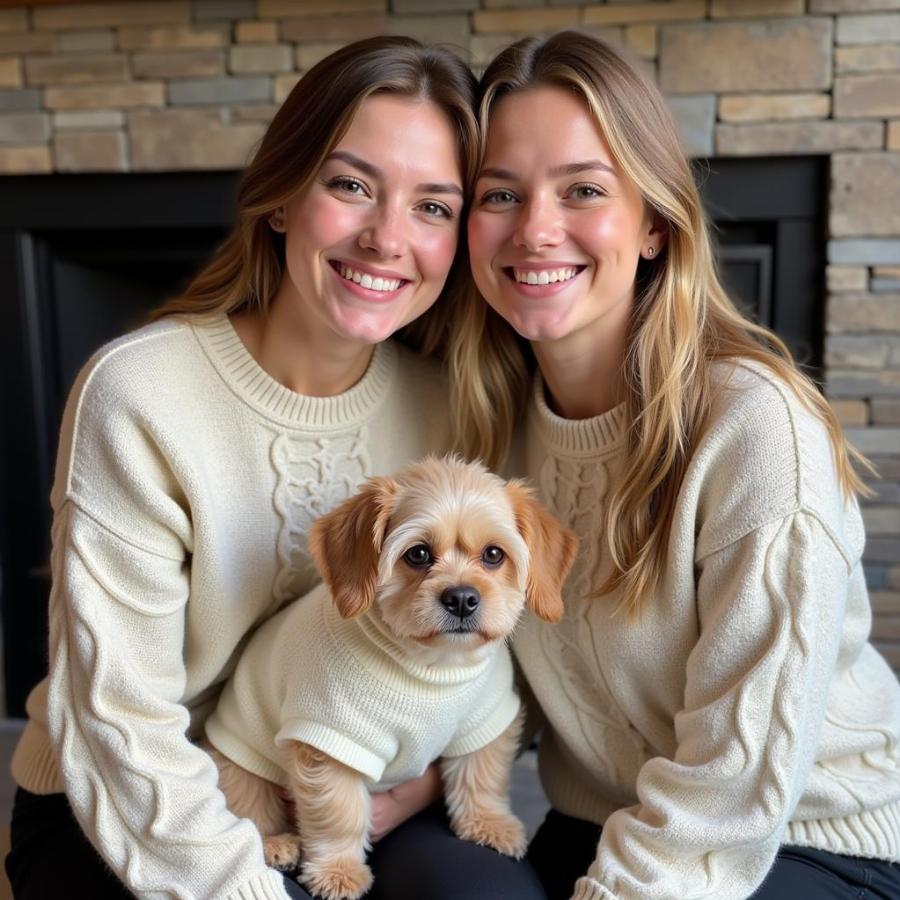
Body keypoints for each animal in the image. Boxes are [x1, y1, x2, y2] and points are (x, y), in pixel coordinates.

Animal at [204, 458, 576, 900]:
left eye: (493, 554)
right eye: (418, 554)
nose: (462, 598)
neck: (430, 665)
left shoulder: (486, 719)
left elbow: (482, 774)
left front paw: (489, 823)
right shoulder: (331, 742)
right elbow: (340, 813)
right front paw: (339, 870)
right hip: (238, 764)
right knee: (248, 809)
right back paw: (277, 843)